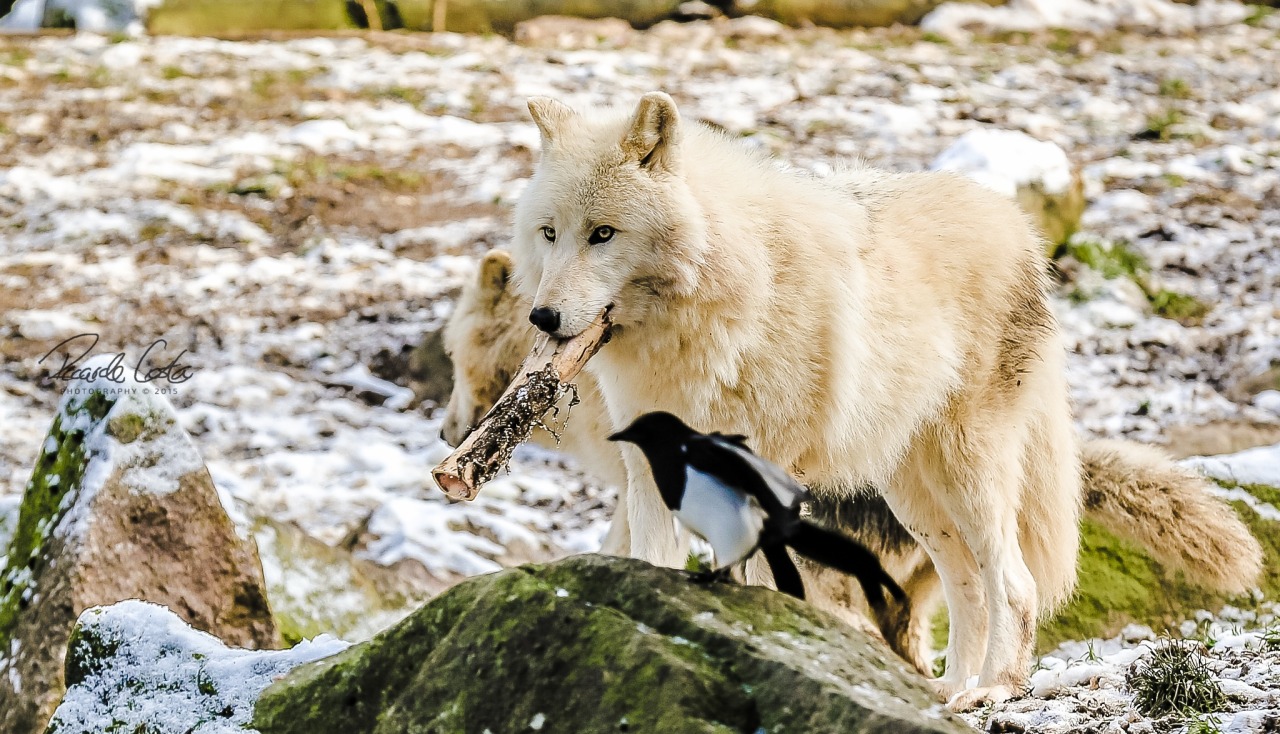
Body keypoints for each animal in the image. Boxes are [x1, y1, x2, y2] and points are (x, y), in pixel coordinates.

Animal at [501, 91, 1259, 701]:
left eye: (604, 234)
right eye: (550, 234)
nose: (543, 318)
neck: (715, 307)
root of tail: (1019, 229)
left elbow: (763, 580)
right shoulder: (652, 472)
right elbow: (653, 564)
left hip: (969, 472)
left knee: (1013, 583)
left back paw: (994, 691)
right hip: (915, 497)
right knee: (966, 588)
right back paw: (945, 690)